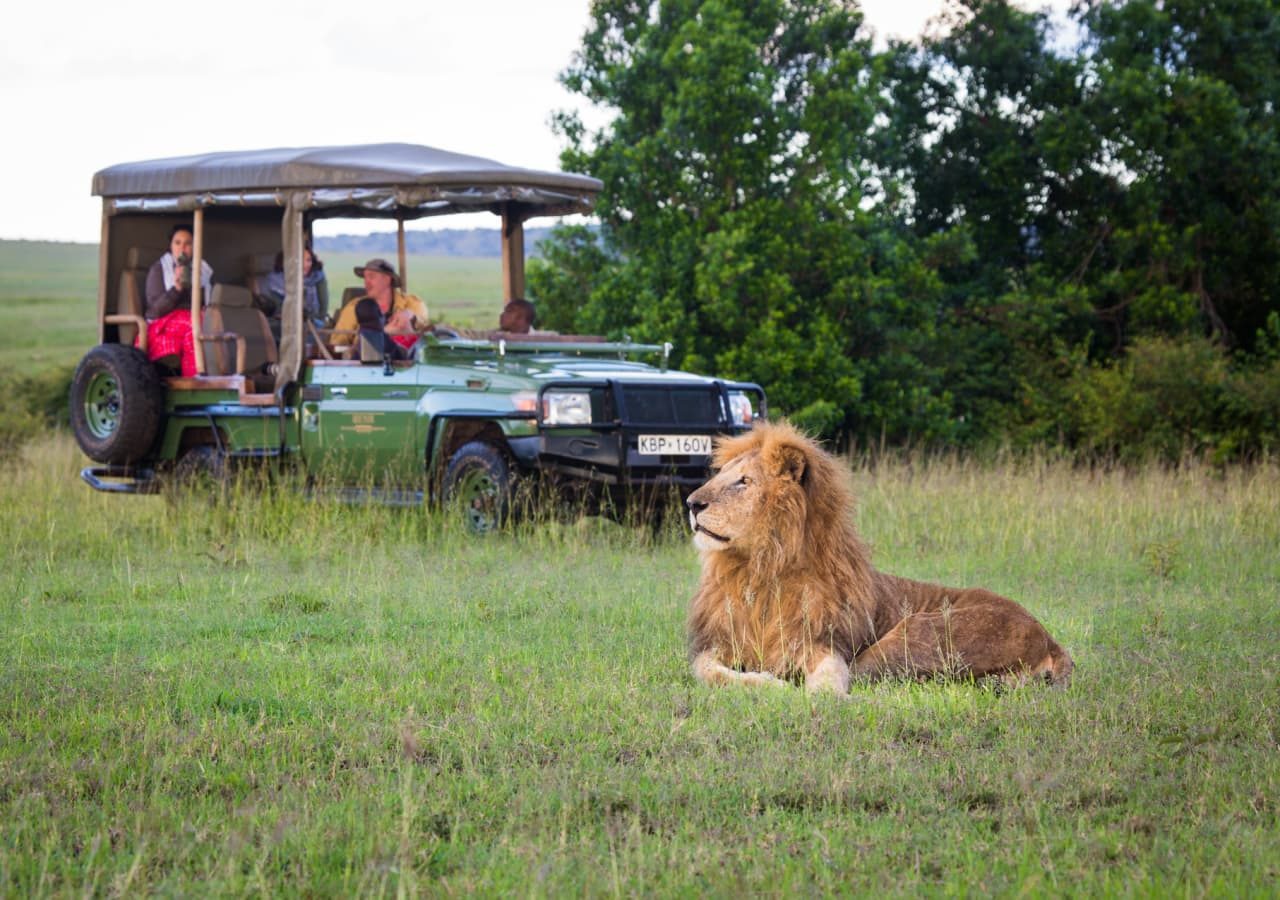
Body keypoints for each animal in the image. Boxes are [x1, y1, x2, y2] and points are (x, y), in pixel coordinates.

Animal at [686, 425, 1075, 696]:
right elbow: (706, 671)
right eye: (719, 476)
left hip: (912, 635)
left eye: (743, 482)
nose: (691, 503)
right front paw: (768, 682)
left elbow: (829, 677)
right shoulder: (718, 644)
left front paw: (814, 693)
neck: (761, 570)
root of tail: (1049, 639)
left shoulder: (826, 643)